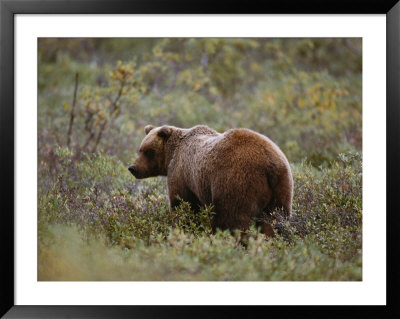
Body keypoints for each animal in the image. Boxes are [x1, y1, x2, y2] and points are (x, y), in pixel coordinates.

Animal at [129, 125, 294, 238]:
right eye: (140, 149)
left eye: (148, 151)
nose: (133, 168)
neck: (172, 154)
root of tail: (270, 163)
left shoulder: (182, 175)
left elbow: (183, 206)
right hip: (282, 187)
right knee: (277, 219)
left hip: (235, 182)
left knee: (232, 219)